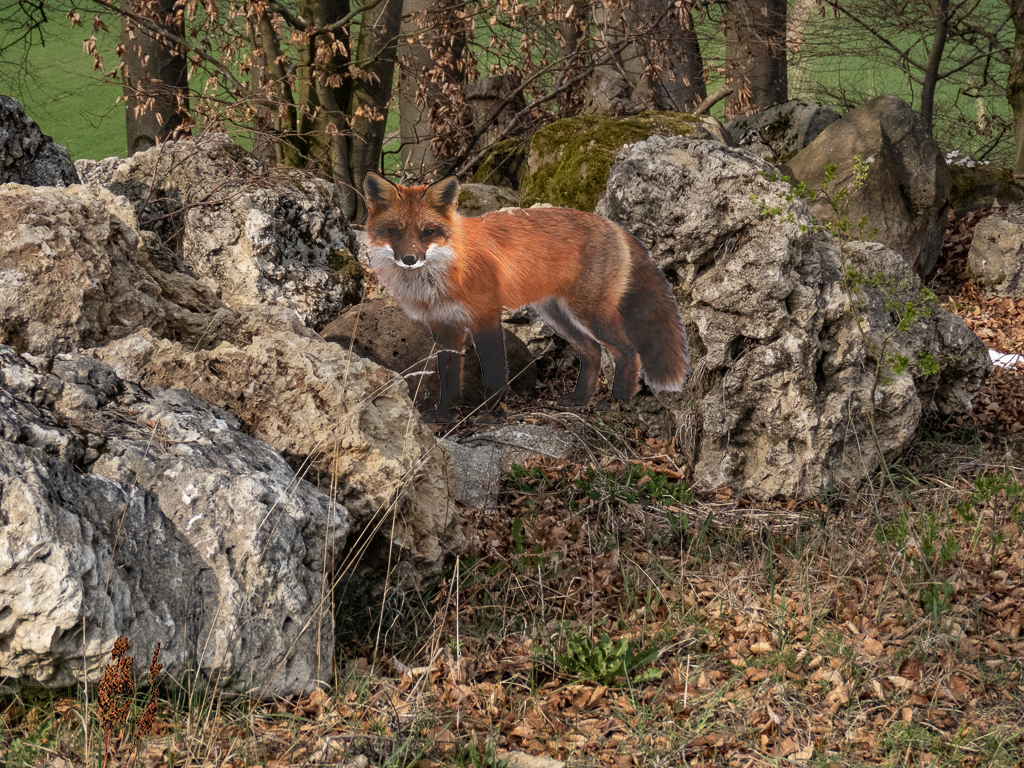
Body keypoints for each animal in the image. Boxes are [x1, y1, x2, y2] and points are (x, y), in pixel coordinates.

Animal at [360, 171, 688, 423]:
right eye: (393, 231)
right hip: (558, 316)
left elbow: (493, 374)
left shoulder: (485, 317)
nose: (410, 259)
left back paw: (619, 402)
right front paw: (443, 416)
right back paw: (581, 398)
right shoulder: (445, 328)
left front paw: (490, 416)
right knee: (592, 351)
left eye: (428, 232)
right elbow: (448, 379)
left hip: (590, 313)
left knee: (628, 352)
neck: (444, 273)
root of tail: (616, 226)